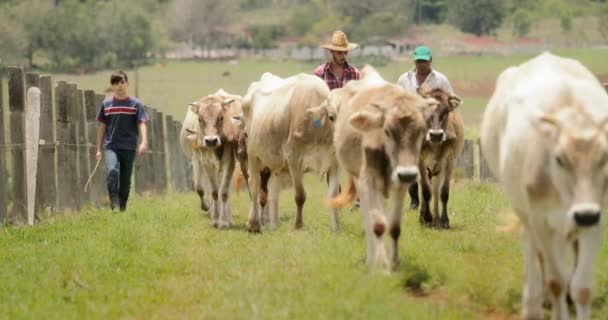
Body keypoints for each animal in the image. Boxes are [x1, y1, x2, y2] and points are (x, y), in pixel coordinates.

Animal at [179, 89, 243, 229]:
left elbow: (223, 192)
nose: (211, 140)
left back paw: (228, 218)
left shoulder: (229, 163)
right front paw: (215, 218)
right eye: (199, 118)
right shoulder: (204, 163)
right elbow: (211, 191)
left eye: (221, 117)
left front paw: (224, 222)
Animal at [239, 72, 342, 232]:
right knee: (254, 184)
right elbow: (300, 196)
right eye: (331, 116)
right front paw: (298, 225)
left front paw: (337, 227)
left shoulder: (333, 162)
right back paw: (253, 223)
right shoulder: (294, 158)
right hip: (252, 153)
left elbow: (334, 195)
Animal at [330, 65, 434, 270]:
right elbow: (377, 225)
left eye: (421, 131)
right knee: (368, 218)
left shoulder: (400, 186)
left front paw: (394, 263)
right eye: (387, 130)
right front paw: (379, 265)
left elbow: (394, 227)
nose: (407, 174)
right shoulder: (368, 182)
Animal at [408, 86, 466, 229]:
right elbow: (425, 190)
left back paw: (436, 218)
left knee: (435, 188)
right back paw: (425, 216)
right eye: (426, 110)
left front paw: (444, 220)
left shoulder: (449, 160)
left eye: (446, 111)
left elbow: (443, 192)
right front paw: (427, 218)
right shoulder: (421, 161)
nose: (436, 135)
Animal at [480, 52, 608, 320]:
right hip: (525, 213)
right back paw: (532, 305)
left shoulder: (597, 219)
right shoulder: (540, 220)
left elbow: (582, 287)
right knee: (532, 252)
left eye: (605, 157)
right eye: (559, 159)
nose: (585, 214)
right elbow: (556, 281)